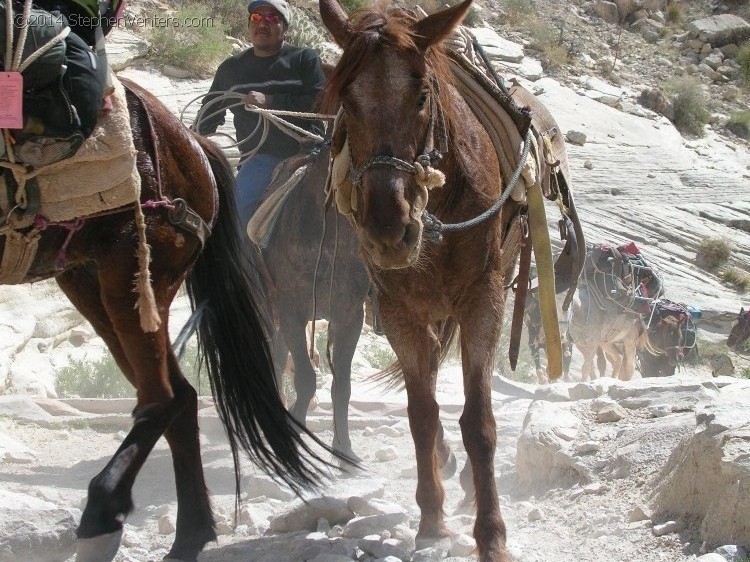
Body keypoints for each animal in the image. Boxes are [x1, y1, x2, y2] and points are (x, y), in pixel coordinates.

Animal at [0, 80, 334, 560]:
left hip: (132, 272)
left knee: (164, 396)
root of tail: (190, 142)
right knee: (179, 395)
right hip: (92, 280)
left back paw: (104, 515)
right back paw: (188, 535)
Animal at [322, 1, 528, 556]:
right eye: (347, 100)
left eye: (421, 96)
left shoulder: (484, 301)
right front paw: (431, 519)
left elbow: (478, 421)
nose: (388, 230)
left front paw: (491, 535)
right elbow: (421, 415)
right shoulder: (399, 311)